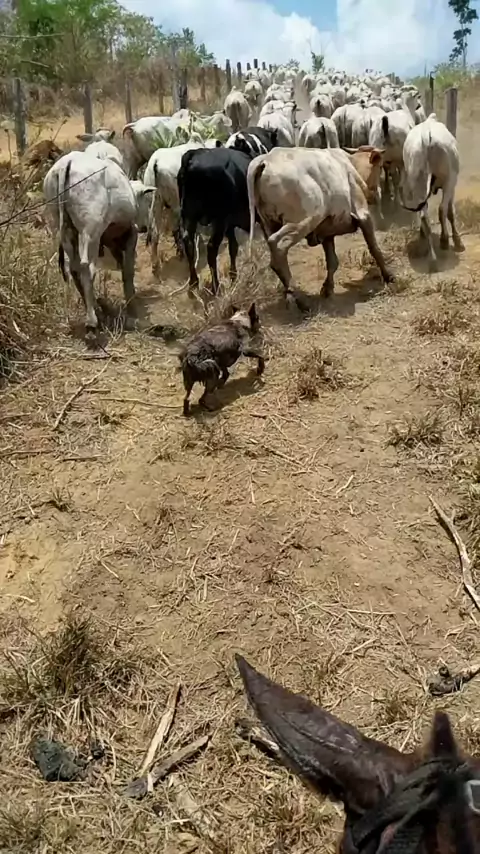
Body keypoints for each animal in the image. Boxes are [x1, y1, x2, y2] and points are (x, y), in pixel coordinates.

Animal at [43, 151, 155, 333]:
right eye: (146, 200)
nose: (144, 228)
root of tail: (67, 163)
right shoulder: (128, 235)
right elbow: (128, 272)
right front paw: (132, 306)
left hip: (64, 229)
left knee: (74, 269)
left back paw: (96, 311)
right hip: (90, 231)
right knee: (86, 267)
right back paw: (92, 319)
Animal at [178, 146, 256, 295]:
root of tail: (193, 157)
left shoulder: (230, 224)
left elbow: (233, 247)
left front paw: (233, 275)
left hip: (188, 215)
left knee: (188, 243)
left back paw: (193, 282)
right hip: (219, 219)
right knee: (211, 248)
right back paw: (215, 286)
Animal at [246, 147, 393, 307]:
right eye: (380, 167)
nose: (378, 194)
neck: (351, 165)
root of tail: (265, 160)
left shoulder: (327, 232)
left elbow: (332, 262)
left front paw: (327, 288)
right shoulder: (363, 215)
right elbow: (375, 249)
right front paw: (388, 276)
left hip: (269, 224)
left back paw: (290, 296)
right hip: (302, 222)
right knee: (277, 246)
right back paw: (300, 300)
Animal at [401, 116, 464, 271]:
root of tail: (425, 138)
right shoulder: (451, 185)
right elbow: (450, 212)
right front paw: (457, 241)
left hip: (417, 183)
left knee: (424, 217)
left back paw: (431, 258)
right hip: (449, 181)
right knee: (442, 209)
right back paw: (444, 240)